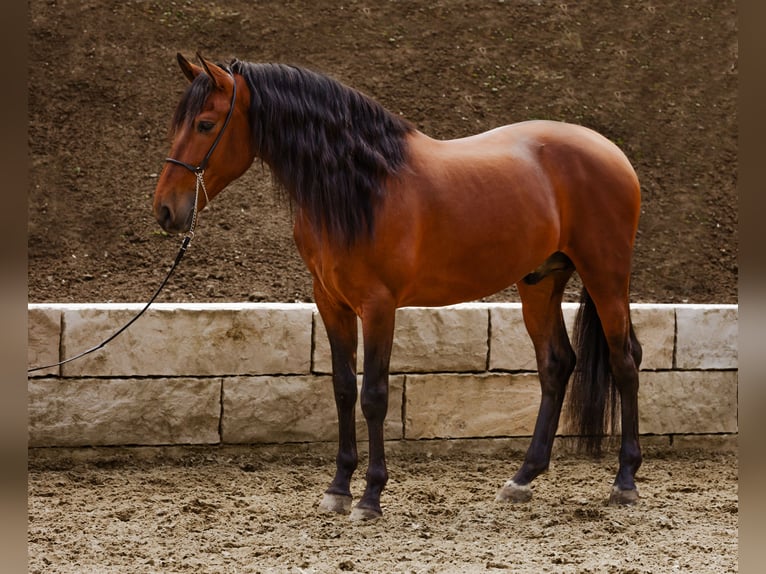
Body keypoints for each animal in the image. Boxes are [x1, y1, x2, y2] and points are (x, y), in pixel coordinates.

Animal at [153, 53, 643, 521]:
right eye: (177, 124)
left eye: (205, 124)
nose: (164, 210)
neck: (361, 186)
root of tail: (610, 151)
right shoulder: (331, 302)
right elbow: (343, 389)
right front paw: (337, 490)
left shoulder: (378, 305)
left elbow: (373, 396)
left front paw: (370, 497)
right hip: (540, 282)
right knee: (556, 364)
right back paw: (521, 480)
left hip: (606, 274)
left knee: (625, 361)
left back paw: (625, 481)